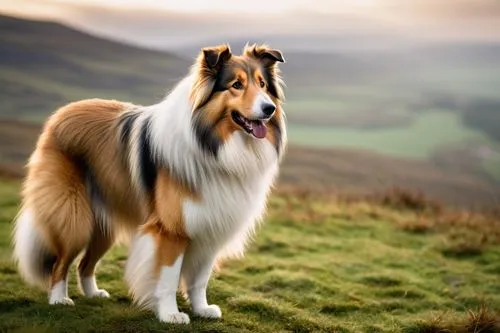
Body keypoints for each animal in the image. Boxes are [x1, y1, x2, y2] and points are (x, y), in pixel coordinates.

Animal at [12, 43, 286, 322]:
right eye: (236, 85)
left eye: (262, 84)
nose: (269, 109)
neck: (213, 145)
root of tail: (60, 114)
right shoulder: (171, 230)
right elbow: (167, 277)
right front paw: (170, 315)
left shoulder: (211, 227)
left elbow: (199, 279)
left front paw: (202, 309)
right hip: (74, 218)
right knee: (60, 263)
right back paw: (59, 299)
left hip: (104, 224)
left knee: (85, 263)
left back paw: (93, 293)